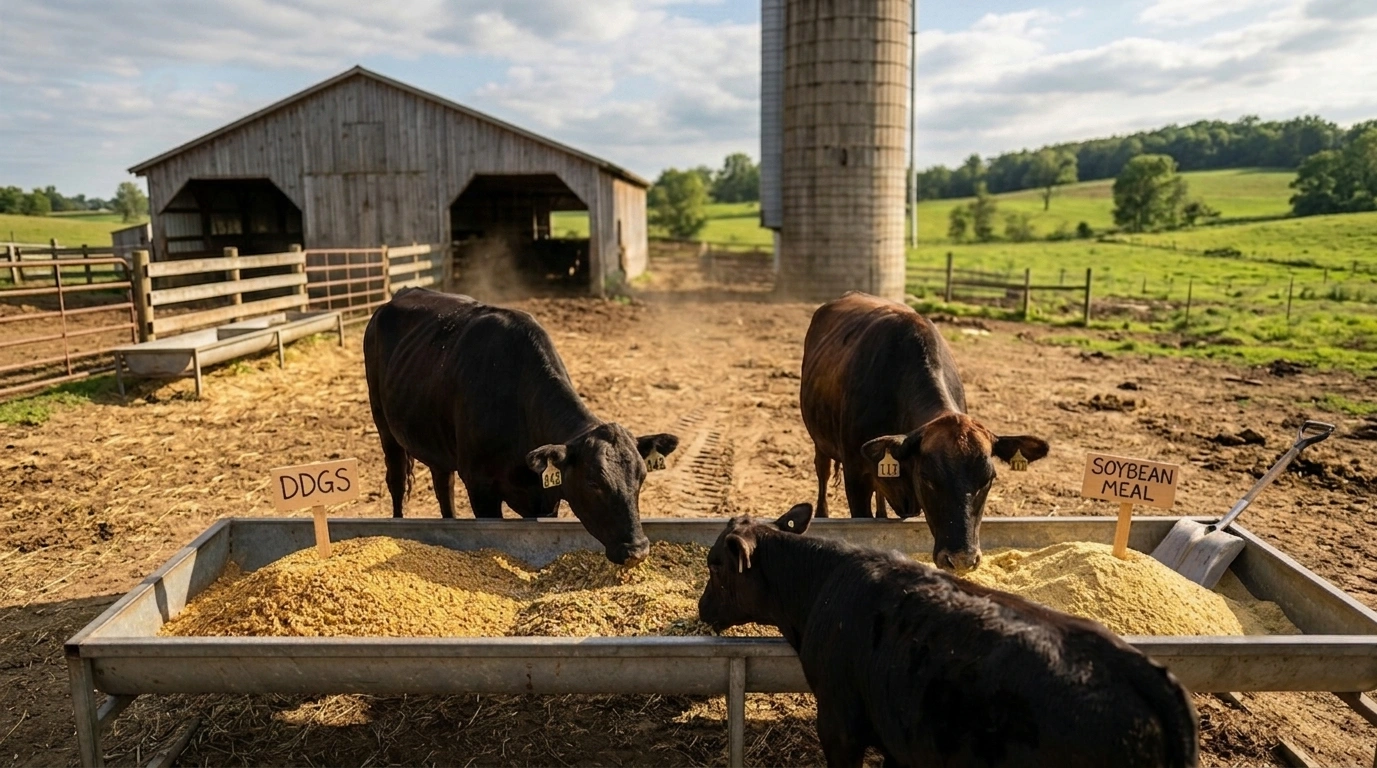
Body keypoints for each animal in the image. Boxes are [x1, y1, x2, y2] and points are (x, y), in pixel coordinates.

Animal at [363, 288, 679, 565]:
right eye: (593, 482)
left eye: (641, 477)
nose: (636, 550)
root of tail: (397, 297)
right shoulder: (480, 486)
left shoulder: (546, 498)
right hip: (383, 424)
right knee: (396, 480)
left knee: (443, 484)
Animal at [697, 504, 1200, 768]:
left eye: (716, 565)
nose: (702, 608)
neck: (820, 585)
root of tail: (1138, 671)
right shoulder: (900, 735)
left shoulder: (840, 726)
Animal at [800, 292, 1049, 572]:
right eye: (928, 477)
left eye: (988, 479)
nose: (961, 560)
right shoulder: (856, 476)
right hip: (820, 440)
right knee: (822, 471)